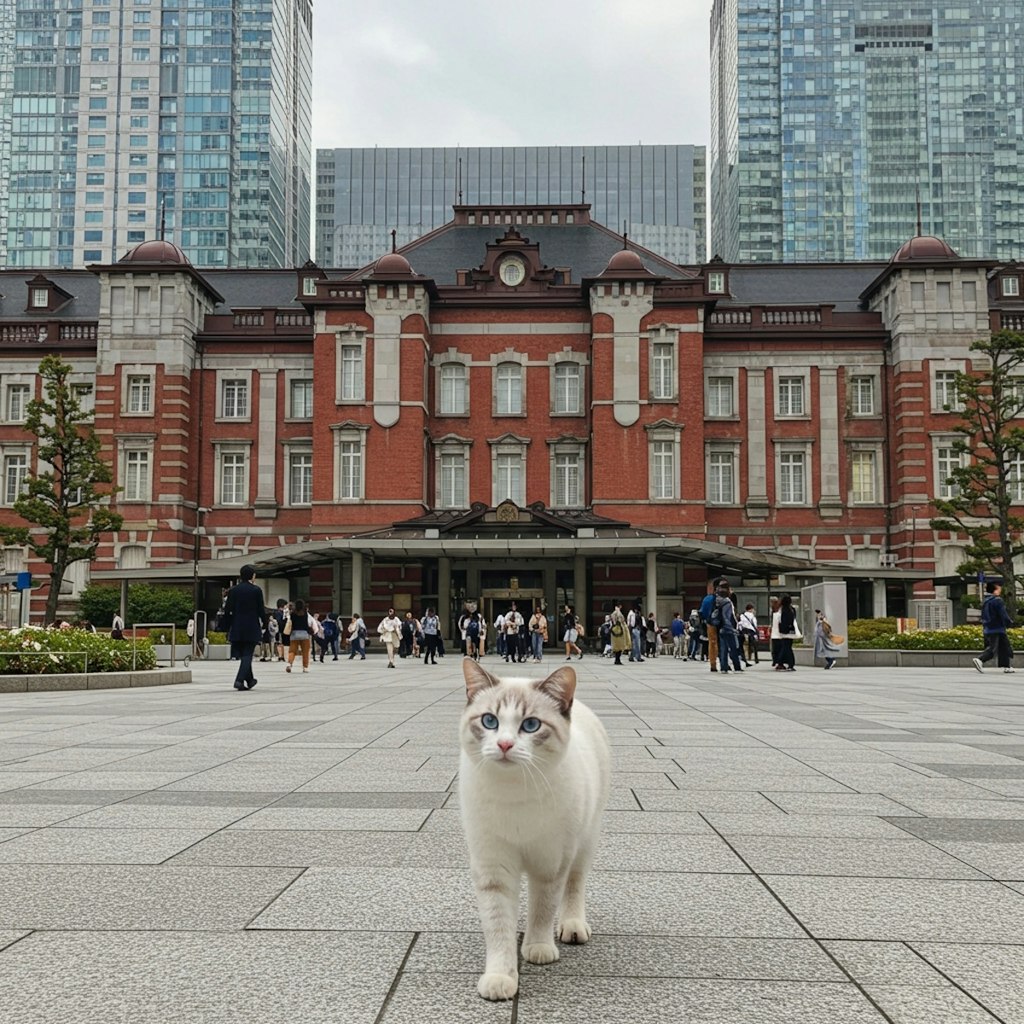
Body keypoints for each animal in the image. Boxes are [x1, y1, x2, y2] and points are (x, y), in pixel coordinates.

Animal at [456, 655, 606, 999]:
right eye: (489, 721)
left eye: (530, 725)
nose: (505, 744)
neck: (513, 792)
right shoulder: (493, 867)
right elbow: (498, 925)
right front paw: (501, 976)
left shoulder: (550, 863)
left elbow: (543, 908)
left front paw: (538, 948)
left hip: (584, 841)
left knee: (575, 884)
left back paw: (572, 926)